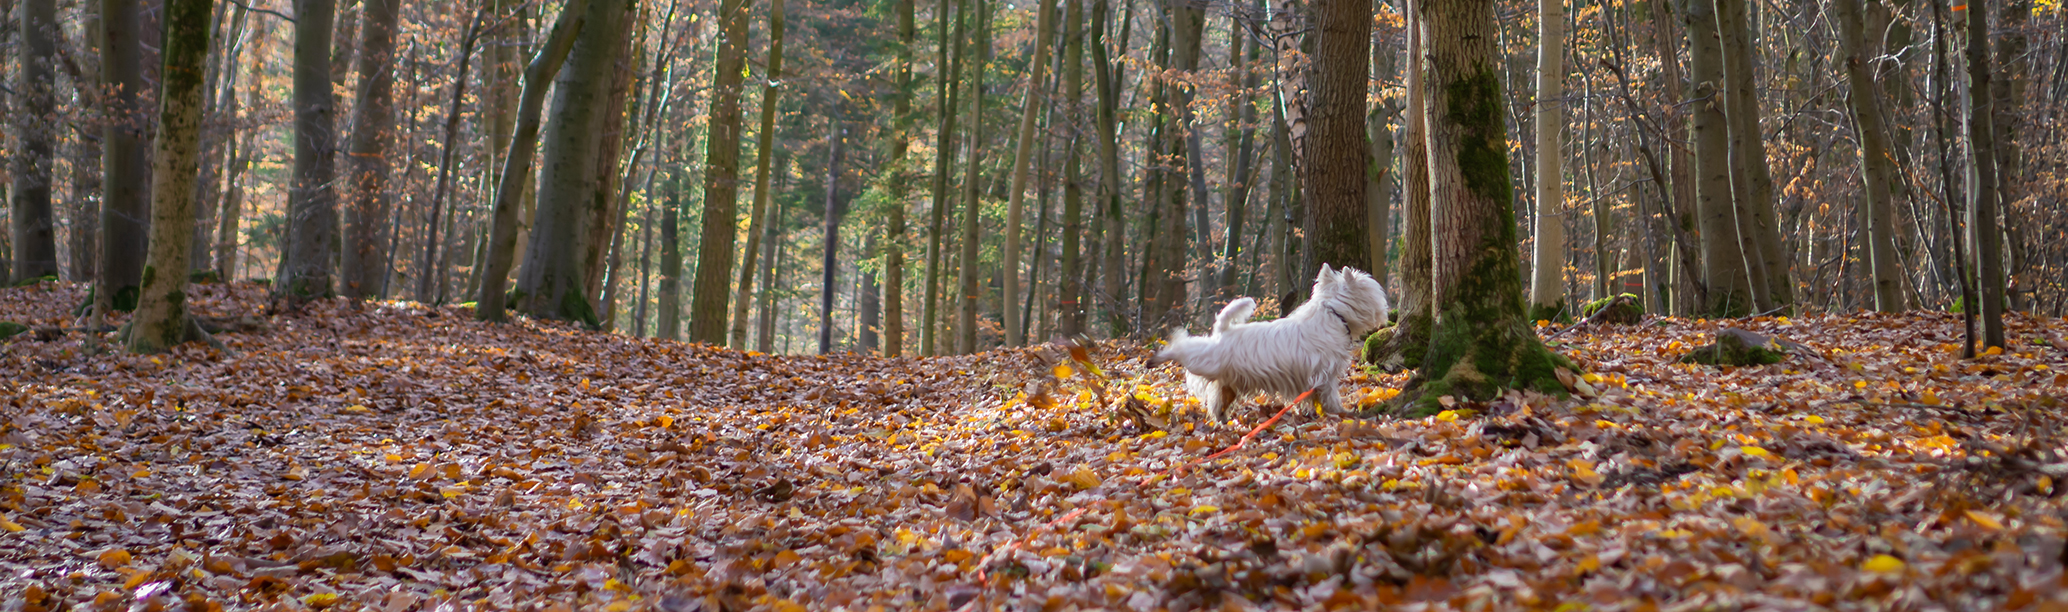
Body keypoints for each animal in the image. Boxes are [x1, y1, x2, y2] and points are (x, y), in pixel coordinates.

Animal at [1149, 264, 1389, 423]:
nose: (1385, 309)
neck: (1333, 313)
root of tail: (1223, 331)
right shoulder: (1324, 372)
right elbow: (1329, 394)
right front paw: (1339, 412)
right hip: (1207, 361)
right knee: (1184, 348)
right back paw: (1157, 356)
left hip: (1226, 378)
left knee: (1218, 398)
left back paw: (1222, 417)